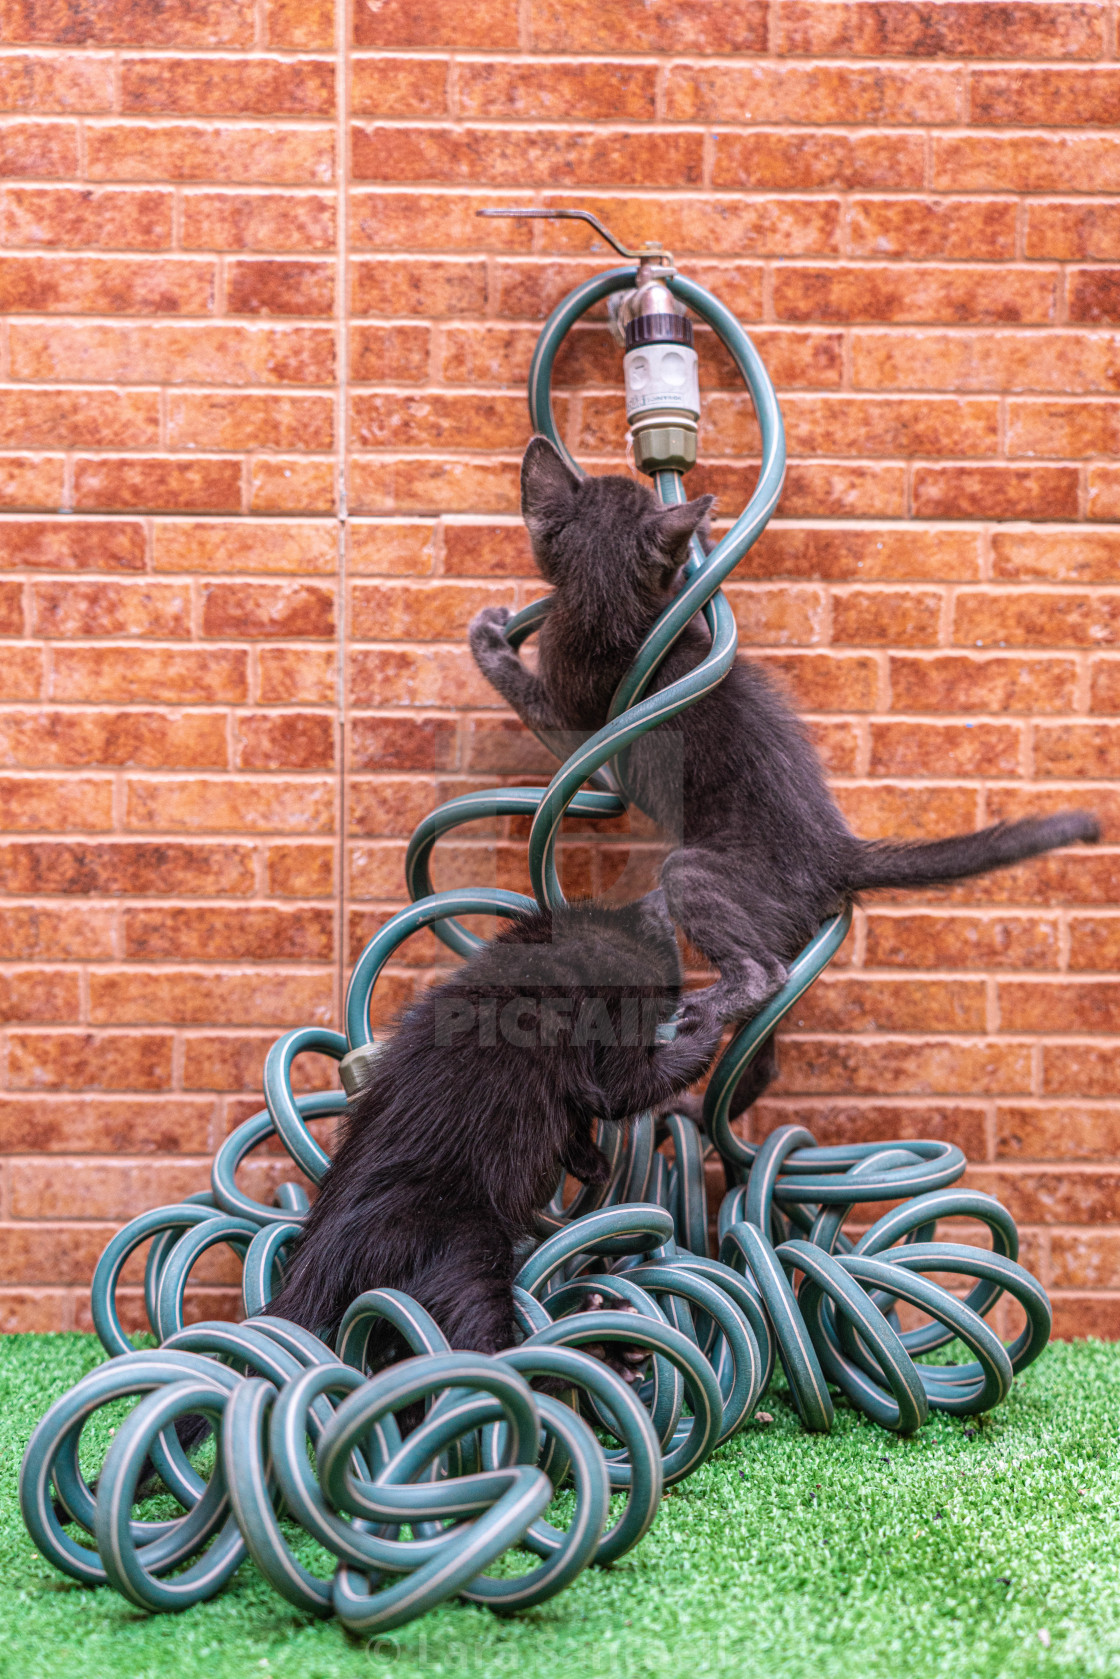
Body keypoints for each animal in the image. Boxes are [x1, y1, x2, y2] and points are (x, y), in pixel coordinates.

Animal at [273, 893, 728, 1349]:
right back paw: (608, 1340)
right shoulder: (617, 1022)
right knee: (475, 1342)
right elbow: (629, 1086)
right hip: (464, 1244)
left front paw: (590, 1163)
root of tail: (315, 1266)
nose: (660, 902)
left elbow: (574, 1119)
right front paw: (705, 1025)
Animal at [470, 439, 1101, 1108]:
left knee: (762, 973)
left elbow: (526, 693)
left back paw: (706, 1008)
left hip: (699, 872)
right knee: (765, 1051)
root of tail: (835, 854)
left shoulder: (568, 711)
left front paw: (487, 641)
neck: (613, 601)